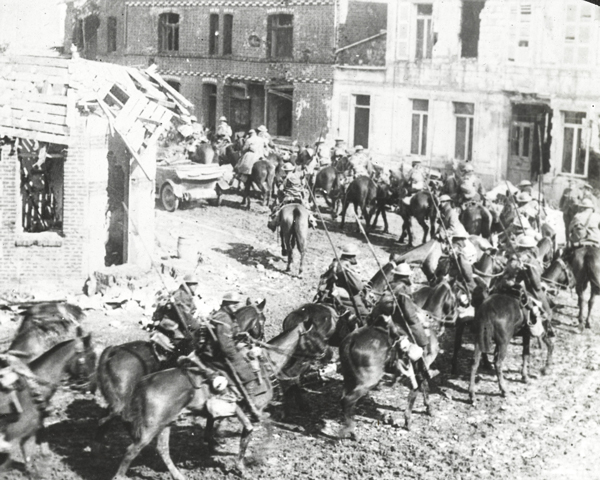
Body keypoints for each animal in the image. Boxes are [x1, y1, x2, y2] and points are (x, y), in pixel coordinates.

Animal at [113, 320, 318, 478]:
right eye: (313, 337)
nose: (319, 356)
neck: (266, 365)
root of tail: (143, 384)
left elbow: (213, 426)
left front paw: (213, 444)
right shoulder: (254, 412)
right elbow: (251, 434)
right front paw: (245, 465)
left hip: (165, 424)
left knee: (162, 450)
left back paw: (178, 475)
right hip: (150, 428)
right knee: (132, 451)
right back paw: (120, 476)